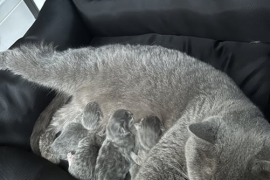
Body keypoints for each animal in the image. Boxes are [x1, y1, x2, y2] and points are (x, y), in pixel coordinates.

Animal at [0, 44, 270, 180]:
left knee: (58, 120)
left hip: (83, 110)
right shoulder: (168, 153)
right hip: (66, 67)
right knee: (32, 57)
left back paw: (49, 150)